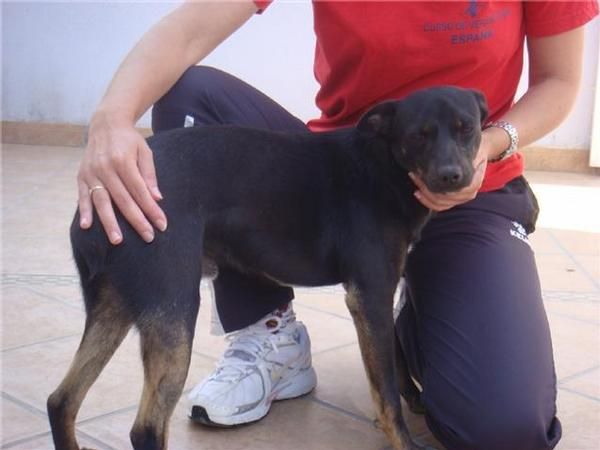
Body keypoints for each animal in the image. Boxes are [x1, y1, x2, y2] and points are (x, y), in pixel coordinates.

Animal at [47, 86, 488, 448]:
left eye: (467, 129)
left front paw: (415, 395)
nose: (453, 176)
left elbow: (393, 356)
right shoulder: (370, 294)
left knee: (61, 400)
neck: (384, 166)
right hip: (173, 310)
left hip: (112, 308)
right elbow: (385, 392)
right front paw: (402, 435)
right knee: (145, 429)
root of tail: (97, 200)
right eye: (418, 136)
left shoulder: (377, 294)